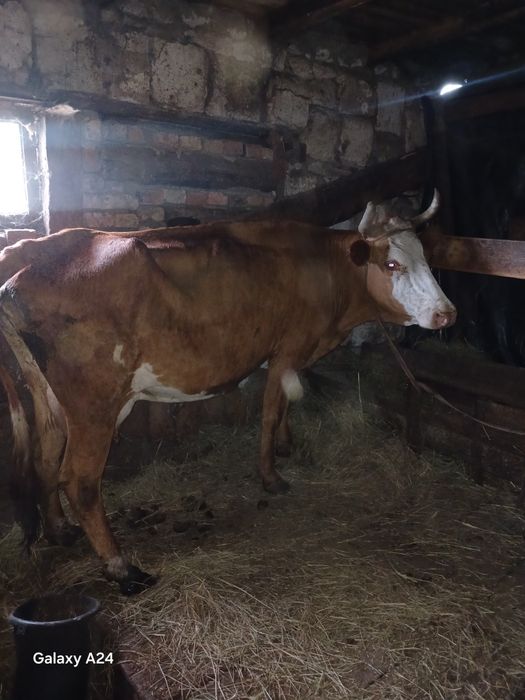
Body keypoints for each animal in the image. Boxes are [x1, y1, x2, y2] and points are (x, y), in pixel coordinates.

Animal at [0, 191, 456, 594]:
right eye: (392, 263)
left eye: (426, 259)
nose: (446, 313)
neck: (324, 270)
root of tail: (26, 260)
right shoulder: (288, 348)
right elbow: (271, 411)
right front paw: (271, 477)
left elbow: (287, 406)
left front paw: (287, 446)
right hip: (96, 402)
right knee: (79, 480)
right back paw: (122, 568)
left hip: (51, 395)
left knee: (46, 454)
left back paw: (60, 530)